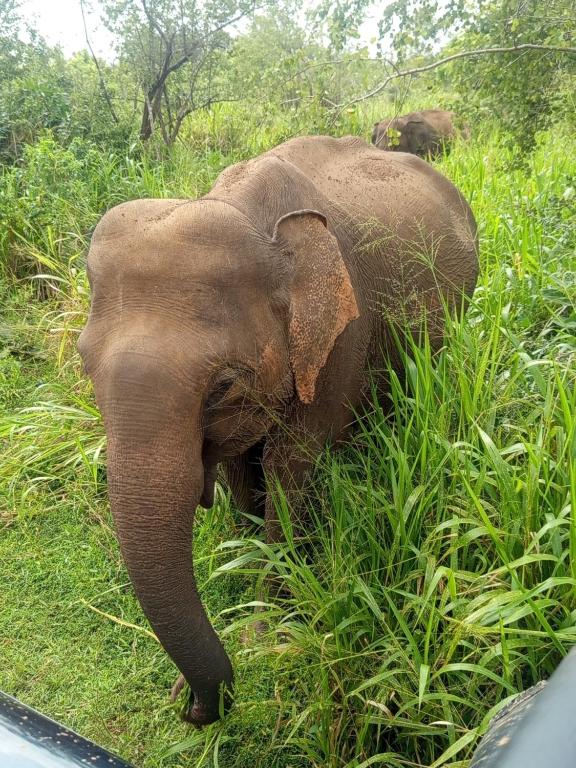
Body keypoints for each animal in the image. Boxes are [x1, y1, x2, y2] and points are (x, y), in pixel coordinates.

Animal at [78, 135, 478, 726]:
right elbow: (243, 472)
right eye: (85, 367)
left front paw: (267, 630)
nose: (186, 703)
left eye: (222, 386)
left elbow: (288, 468)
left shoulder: (341, 341)